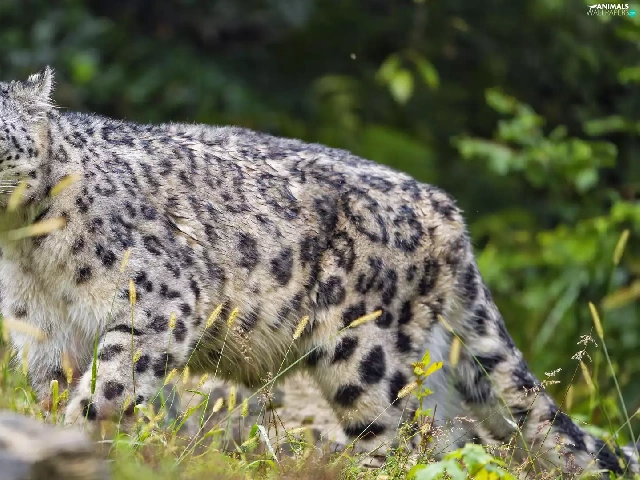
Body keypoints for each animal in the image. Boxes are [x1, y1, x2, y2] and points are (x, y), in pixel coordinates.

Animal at [0, 67, 637, 477]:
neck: (28, 254)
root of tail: (447, 210)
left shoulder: (158, 301)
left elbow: (110, 385)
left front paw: (84, 432)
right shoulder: (42, 331)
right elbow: (51, 391)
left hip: (369, 353)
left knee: (396, 436)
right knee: (453, 437)